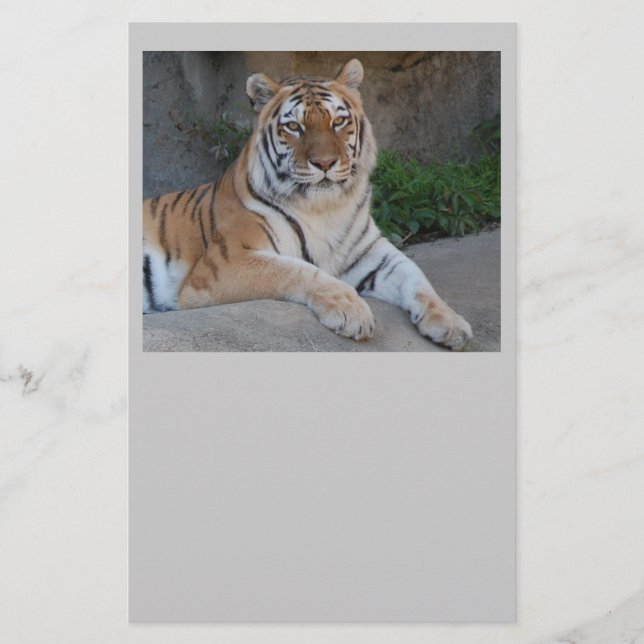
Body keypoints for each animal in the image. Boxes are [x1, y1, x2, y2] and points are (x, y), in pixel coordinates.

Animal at [143, 59, 473, 350]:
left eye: (338, 121)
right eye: (294, 127)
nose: (325, 163)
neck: (325, 208)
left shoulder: (371, 252)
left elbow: (416, 276)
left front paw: (451, 323)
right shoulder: (223, 263)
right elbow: (297, 270)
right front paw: (352, 311)